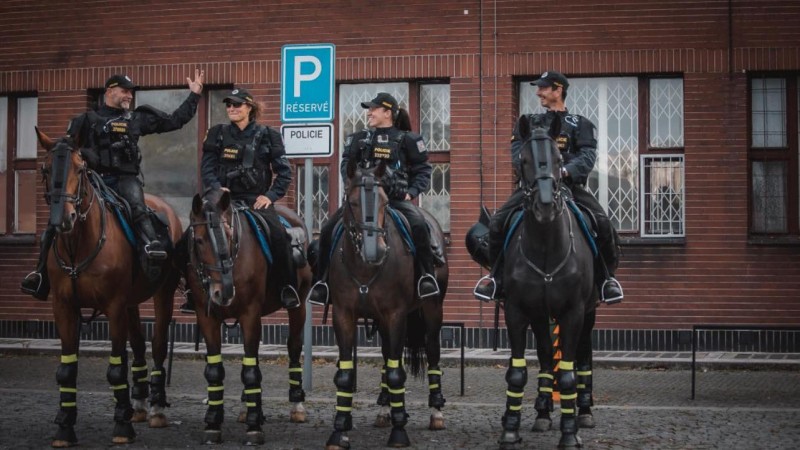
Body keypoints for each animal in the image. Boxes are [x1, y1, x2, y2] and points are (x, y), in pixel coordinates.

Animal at [38, 130, 181, 446]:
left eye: (80, 169)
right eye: (45, 169)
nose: (62, 219)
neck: (79, 245)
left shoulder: (114, 307)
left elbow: (116, 369)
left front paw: (121, 427)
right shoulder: (64, 308)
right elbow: (66, 369)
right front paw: (64, 427)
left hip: (162, 294)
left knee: (157, 344)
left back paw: (155, 408)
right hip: (132, 303)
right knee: (138, 345)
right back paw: (137, 405)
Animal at [186, 191, 310, 446]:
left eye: (229, 235)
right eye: (199, 240)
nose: (224, 291)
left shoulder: (250, 313)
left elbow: (251, 371)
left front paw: (254, 427)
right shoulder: (207, 317)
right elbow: (215, 370)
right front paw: (213, 422)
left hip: (299, 305)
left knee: (293, 347)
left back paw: (296, 405)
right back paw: (248, 406)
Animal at [324, 159, 450, 450]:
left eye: (384, 201)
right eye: (353, 202)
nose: (376, 251)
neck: (364, 267)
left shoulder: (396, 315)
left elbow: (397, 373)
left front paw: (399, 431)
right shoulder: (343, 315)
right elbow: (346, 375)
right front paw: (339, 430)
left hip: (432, 311)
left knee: (432, 352)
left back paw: (435, 412)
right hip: (381, 322)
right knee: (386, 357)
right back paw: (384, 409)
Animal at [494, 116, 600, 446]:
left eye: (558, 160)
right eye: (524, 160)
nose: (544, 207)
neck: (544, 247)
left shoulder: (573, 312)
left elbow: (567, 374)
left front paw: (569, 434)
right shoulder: (517, 311)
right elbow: (517, 372)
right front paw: (510, 428)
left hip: (589, 313)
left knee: (583, 356)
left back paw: (584, 412)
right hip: (541, 316)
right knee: (543, 356)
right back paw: (542, 412)